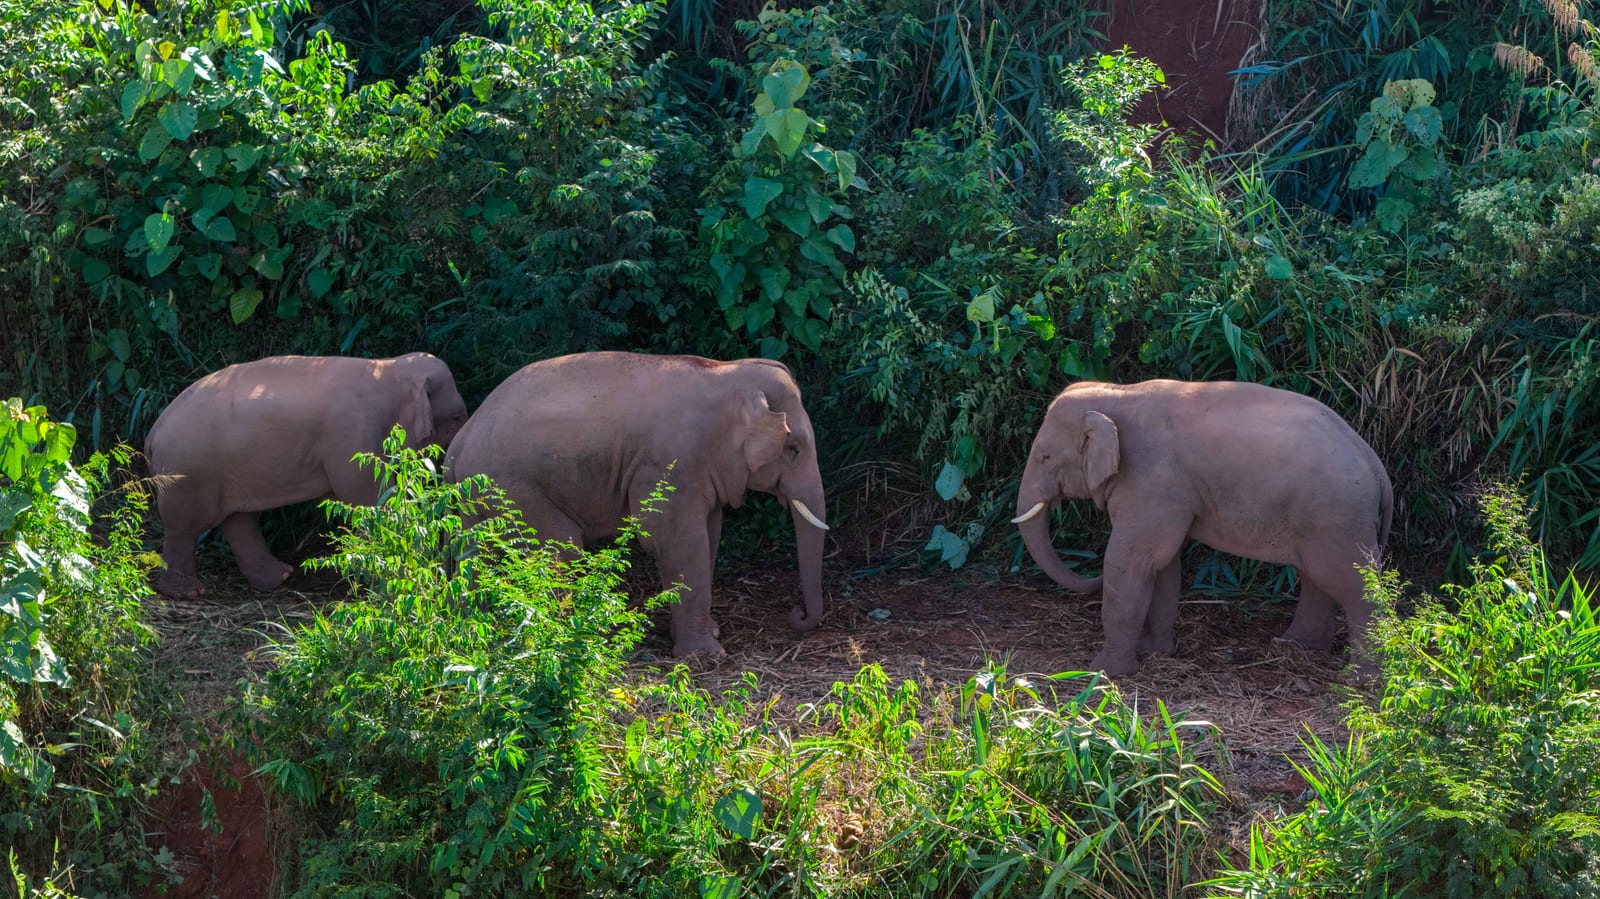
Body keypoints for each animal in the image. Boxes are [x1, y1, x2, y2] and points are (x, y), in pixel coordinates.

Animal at [146, 353, 469, 599]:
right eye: (457, 417)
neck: (390, 367)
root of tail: (153, 433)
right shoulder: (353, 434)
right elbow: (365, 497)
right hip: (187, 474)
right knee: (184, 527)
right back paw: (189, 592)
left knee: (239, 520)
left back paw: (281, 576)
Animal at [442, 351, 830, 658]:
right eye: (794, 449)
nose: (797, 614)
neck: (727, 370)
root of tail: (457, 446)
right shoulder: (670, 465)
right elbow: (675, 540)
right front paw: (705, 656)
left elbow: (710, 532)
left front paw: (709, 634)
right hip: (512, 488)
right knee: (561, 549)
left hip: (479, 498)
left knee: (476, 553)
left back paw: (473, 627)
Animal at [1012, 379, 1392, 676]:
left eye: (1045, 457)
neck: (1118, 392)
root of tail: (1376, 465)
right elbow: (1163, 565)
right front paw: (1155, 651)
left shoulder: (1153, 480)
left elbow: (1132, 560)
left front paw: (1103, 672)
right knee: (1318, 578)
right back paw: (1294, 646)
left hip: (1338, 517)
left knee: (1353, 585)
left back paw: (1360, 679)